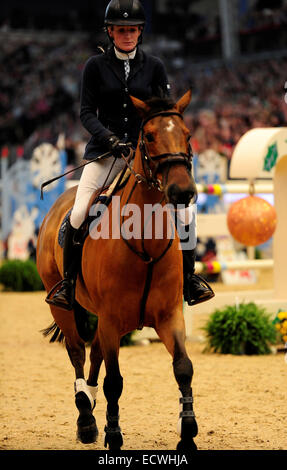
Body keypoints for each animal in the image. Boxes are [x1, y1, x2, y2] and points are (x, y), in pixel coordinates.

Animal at [37, 89, 200, 452]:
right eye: (148, 136)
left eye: (187, 135)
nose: (183, 192)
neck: (145, 244)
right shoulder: (112, 319)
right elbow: (114, 381)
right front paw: (113, 436)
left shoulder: (169, 316)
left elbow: (183, 368)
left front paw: (188, 433)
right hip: (63, 306)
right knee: (77, 352)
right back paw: (85, 418)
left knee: (95, 351)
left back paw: (89, 399)